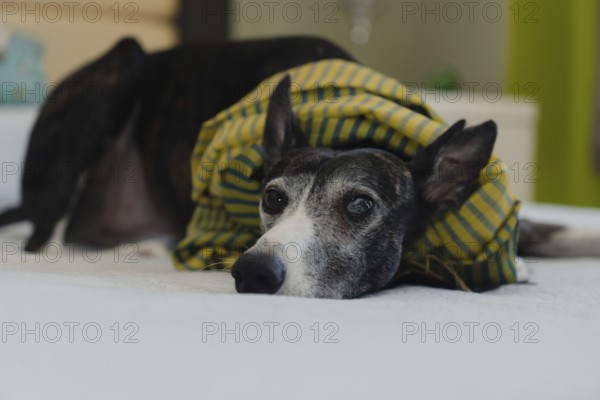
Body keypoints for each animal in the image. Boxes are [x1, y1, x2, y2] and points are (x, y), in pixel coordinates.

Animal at [1, 37, 600, 298]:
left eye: (359, 204)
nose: (254, 274)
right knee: (48, 239)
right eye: (272, 197)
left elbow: (565, 231)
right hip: (121, 68)